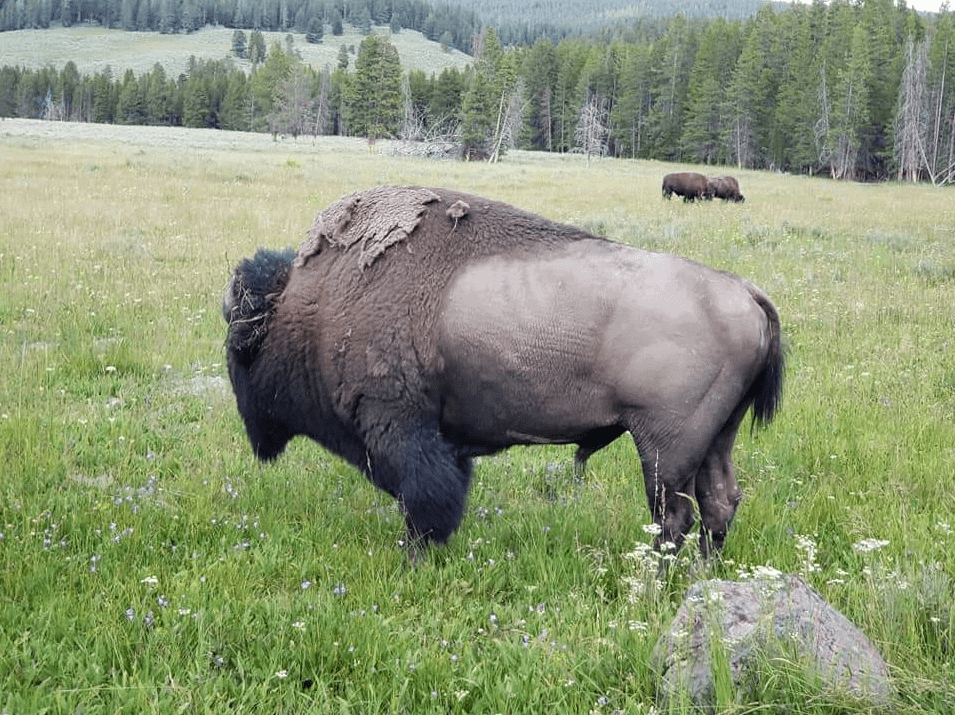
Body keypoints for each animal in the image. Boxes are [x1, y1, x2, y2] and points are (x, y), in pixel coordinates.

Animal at [224, 187, 784, 556]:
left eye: (239, 354)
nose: (255, 433)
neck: (310, 306)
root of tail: (744, 292)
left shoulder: (401, 428)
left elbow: (426, 500)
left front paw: (416, 556)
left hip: (664, 448)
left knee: (675, 515)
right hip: (715, 439)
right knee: (719, 502)